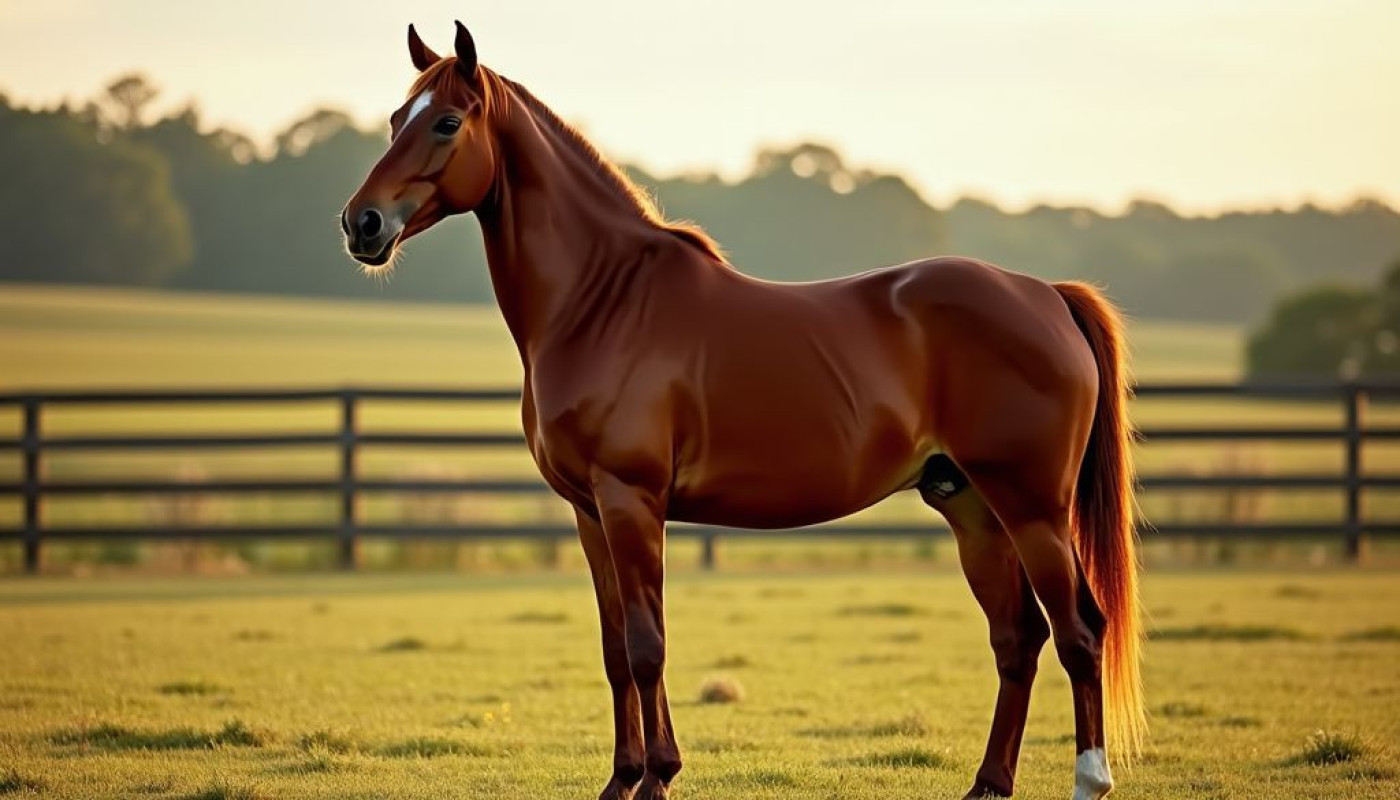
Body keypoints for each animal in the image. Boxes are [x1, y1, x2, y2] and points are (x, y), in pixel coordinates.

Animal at [342, 22, 1144, 800]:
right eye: (394, 120)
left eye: (447, 121)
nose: (362, 224)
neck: (601, 303)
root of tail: (1046, 295)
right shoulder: (589, 511)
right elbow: (614, 648)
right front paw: (623, 779)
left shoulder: (631, 500)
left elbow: (646, 645)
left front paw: (657, 777)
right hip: (971, 505)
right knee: (1018, 638)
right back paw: (987, 784)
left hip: (1033, 507)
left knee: (1078, 632)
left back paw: (1089, 780)